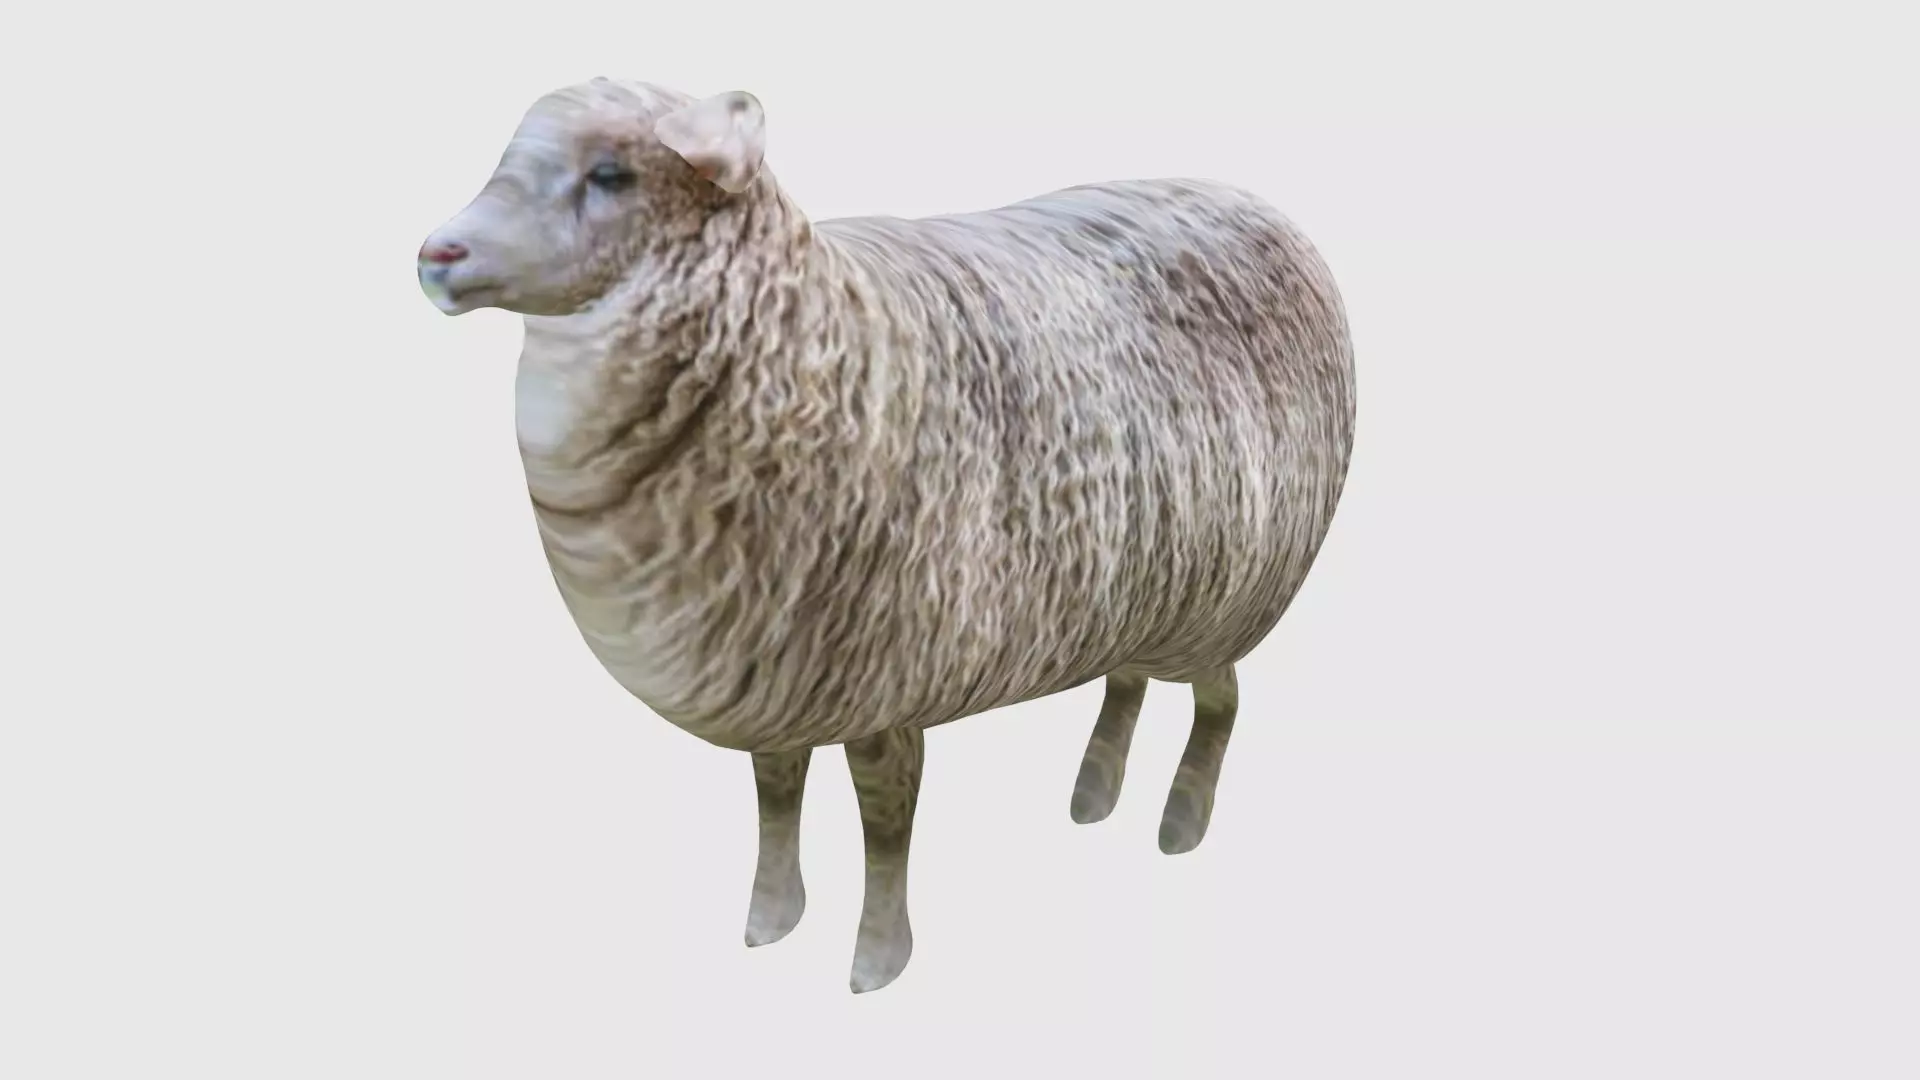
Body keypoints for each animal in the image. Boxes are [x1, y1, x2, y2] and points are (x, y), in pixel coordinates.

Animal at [416, 77, 1357, 994]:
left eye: (612, 174)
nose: (436, 257)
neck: (809, 339)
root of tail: (1257, 202)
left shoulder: (887, 676)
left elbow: (885, 824)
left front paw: (875, 958)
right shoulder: (777, 674)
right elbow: (777, 795)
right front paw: (770, 918)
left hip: (1228, 592)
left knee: (1220, 704)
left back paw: (1180, 820)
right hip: (1135, 577)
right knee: (1126, 683)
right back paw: (1093, 793)